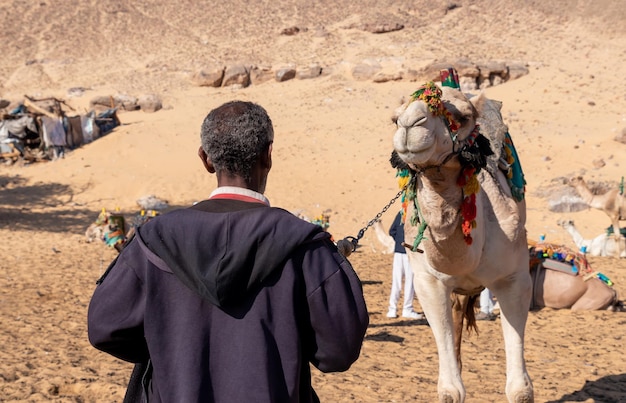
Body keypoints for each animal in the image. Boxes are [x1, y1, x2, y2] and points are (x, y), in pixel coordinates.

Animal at [390, 80, 532, 402]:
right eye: (395, 118)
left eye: (464, 116)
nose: (409, 124)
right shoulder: (429, 280)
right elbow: (450, 391)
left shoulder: (515, 277)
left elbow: (520, 390)